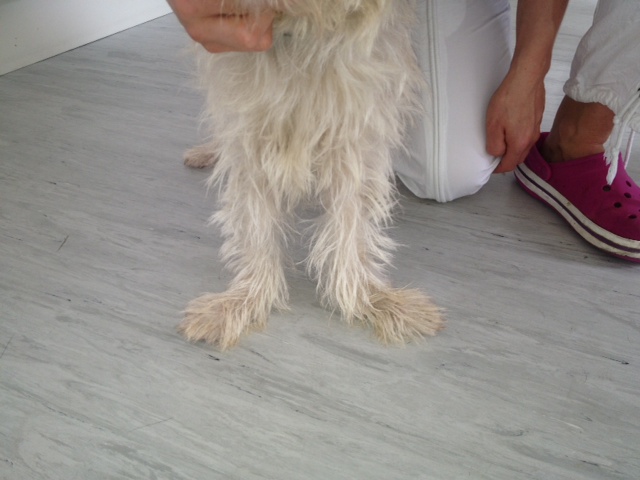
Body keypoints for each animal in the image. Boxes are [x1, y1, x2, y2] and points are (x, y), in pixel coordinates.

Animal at [178, 0, 444, 350]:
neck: (306, 31)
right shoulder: (251, 136)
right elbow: (256, 224)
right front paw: (245, 299)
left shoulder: (355, 140)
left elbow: (351, 229)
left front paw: (370, 299)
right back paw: (206, 152)